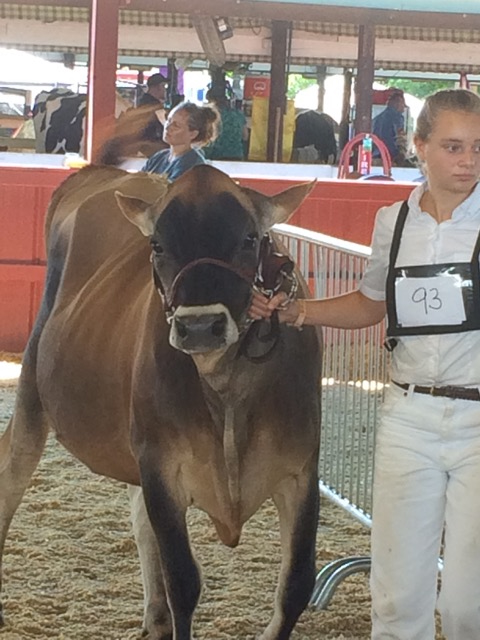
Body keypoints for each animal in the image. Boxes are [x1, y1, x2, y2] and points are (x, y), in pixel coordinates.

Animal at [0, 163, 321, 640]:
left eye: (250, 238)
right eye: (157, 244)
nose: (200, 326)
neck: (224, 388)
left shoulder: (301, 469)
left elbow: (296, 585)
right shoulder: (160, 464)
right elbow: (184, 582)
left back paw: (154, 616)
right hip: (33, 383)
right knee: (12, 475)